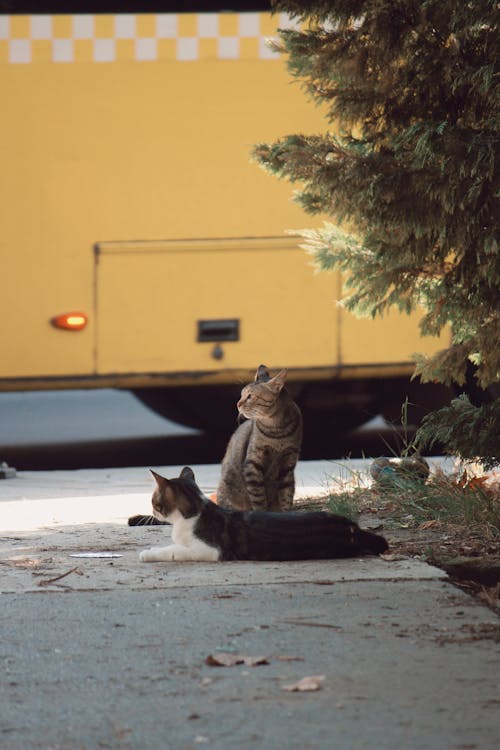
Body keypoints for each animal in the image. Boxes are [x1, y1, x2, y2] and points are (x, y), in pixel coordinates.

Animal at [139, 470, 388, 564]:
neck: (195, 511)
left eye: (153, 501)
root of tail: (353, 528)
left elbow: (173, 550)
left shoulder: (210, 550)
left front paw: (148, 553)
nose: (151, 510)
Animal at [218, 366, 302, 516]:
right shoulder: (253, 464)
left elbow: (286, 494)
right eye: (241, 395)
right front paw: (262, 514)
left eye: (250, 396)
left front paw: (286, 514)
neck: (277, 431)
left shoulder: (288, 464)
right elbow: (258, 497)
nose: (238, 404)